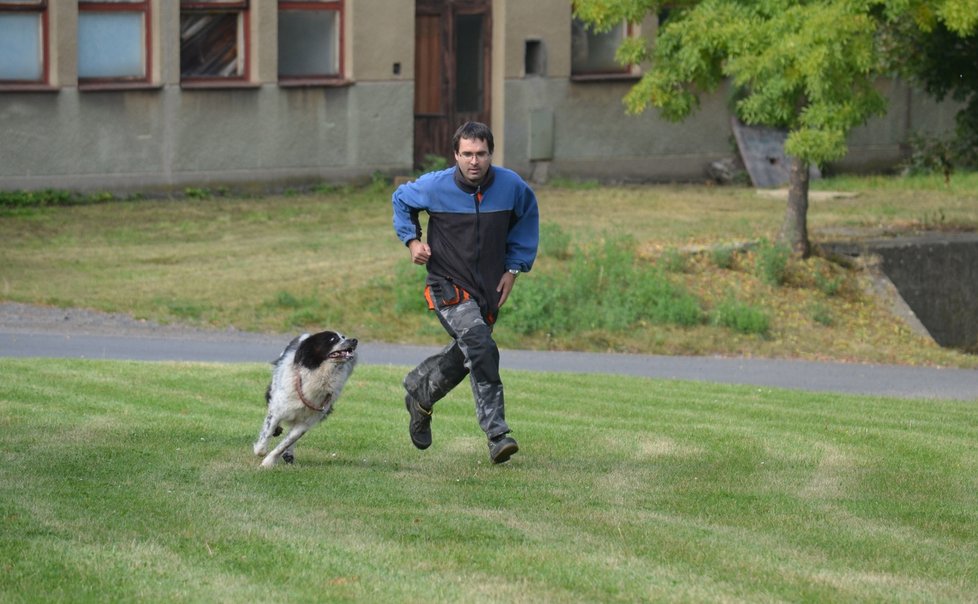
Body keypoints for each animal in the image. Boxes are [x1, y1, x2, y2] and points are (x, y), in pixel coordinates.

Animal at [254, 330, 356, 468]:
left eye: (343, 337)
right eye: (332, 339)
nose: (354, 340)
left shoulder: (306, 421)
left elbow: (286, 442)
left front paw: (268, 462)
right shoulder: (278, 409)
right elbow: (267, 431)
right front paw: (260, 450)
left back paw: (289, 454)